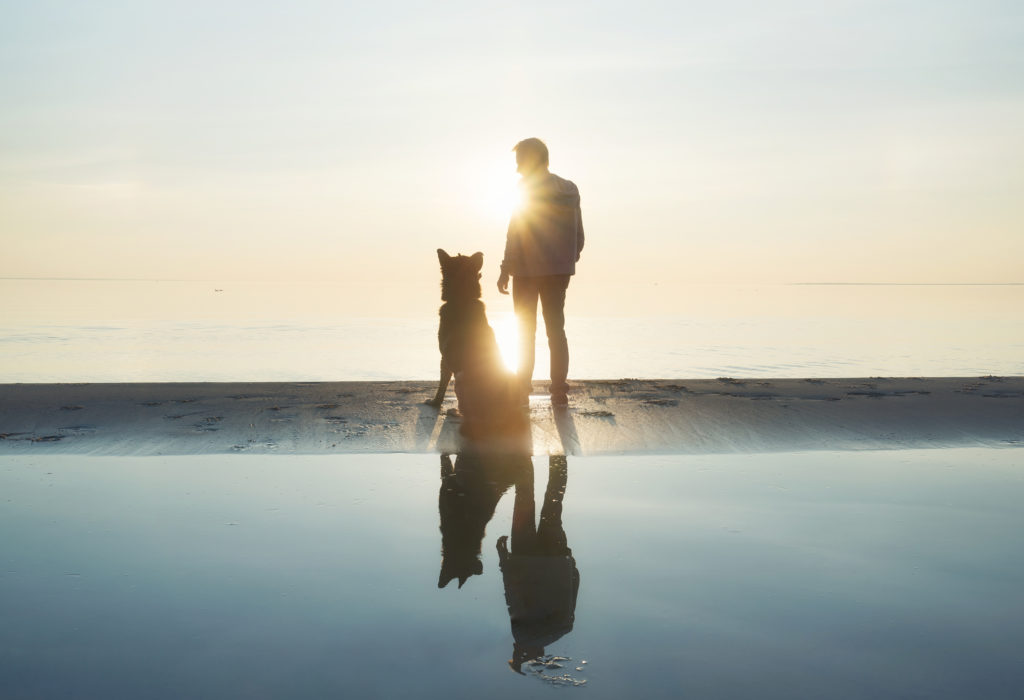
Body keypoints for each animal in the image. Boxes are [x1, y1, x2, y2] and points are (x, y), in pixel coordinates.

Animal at [425, 248, 524, 429]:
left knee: (469, 413)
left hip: (461, 377)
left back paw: (455, 412)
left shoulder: (445, 357)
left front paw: (435, 402)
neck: (461, 298)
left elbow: (442, 384)